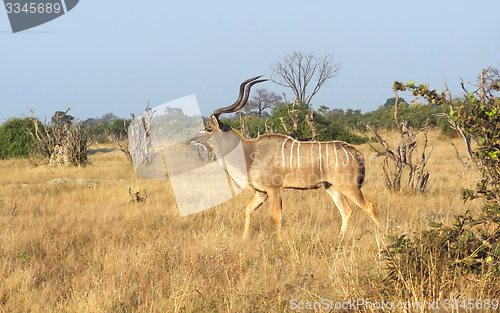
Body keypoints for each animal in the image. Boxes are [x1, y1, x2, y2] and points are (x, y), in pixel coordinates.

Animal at [191, 75, 378, 239]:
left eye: (208, 129)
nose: (193, 139)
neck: (250, 153)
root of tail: (357, 153)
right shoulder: (261, 192)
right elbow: (248, 210)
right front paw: (244, 240)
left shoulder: (274, 190)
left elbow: (276, 215)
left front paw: (280, 242)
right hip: (331, 187)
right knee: (346, 211)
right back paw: (341, 238)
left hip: (350, 187)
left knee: (369, 206)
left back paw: (380, 235)